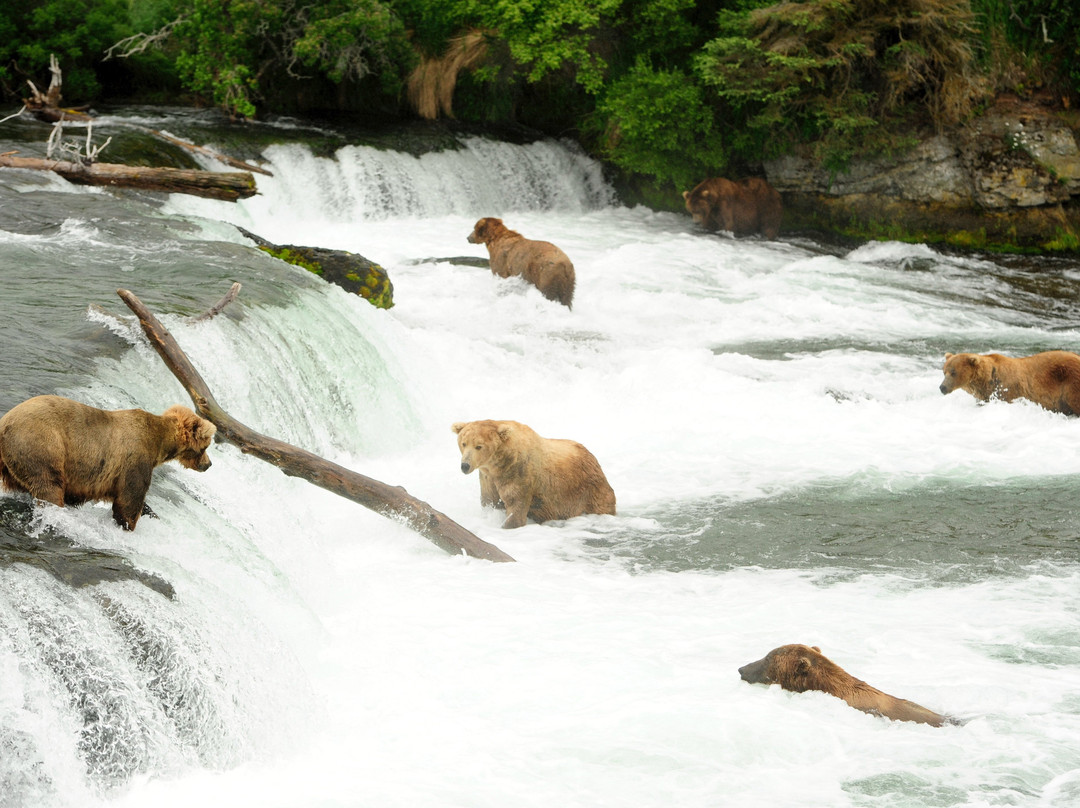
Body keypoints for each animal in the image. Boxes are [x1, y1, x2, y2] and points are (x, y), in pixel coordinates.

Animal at [0, 395, 217, 529]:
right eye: (206, 446)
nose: (208, 464)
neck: (158, 443)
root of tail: (4, 423)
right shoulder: (135, 460)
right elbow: (129, 500)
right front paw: (128, 524)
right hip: (41, 445)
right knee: (49, 485)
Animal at [449, 419, 617, 527]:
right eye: (463, 443)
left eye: (479, 446)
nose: (465, 465)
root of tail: (591, 455)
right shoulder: (487, 479)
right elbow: (490, 501)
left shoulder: (519, 473)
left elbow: (515, 504)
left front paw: (509, 524)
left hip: (587, 489)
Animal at [937, 349, 1080, 416]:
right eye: (944, 372)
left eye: (953, 372)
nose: (942, 387)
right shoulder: (985, 396)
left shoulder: (1007, 390)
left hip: (1071, 384)